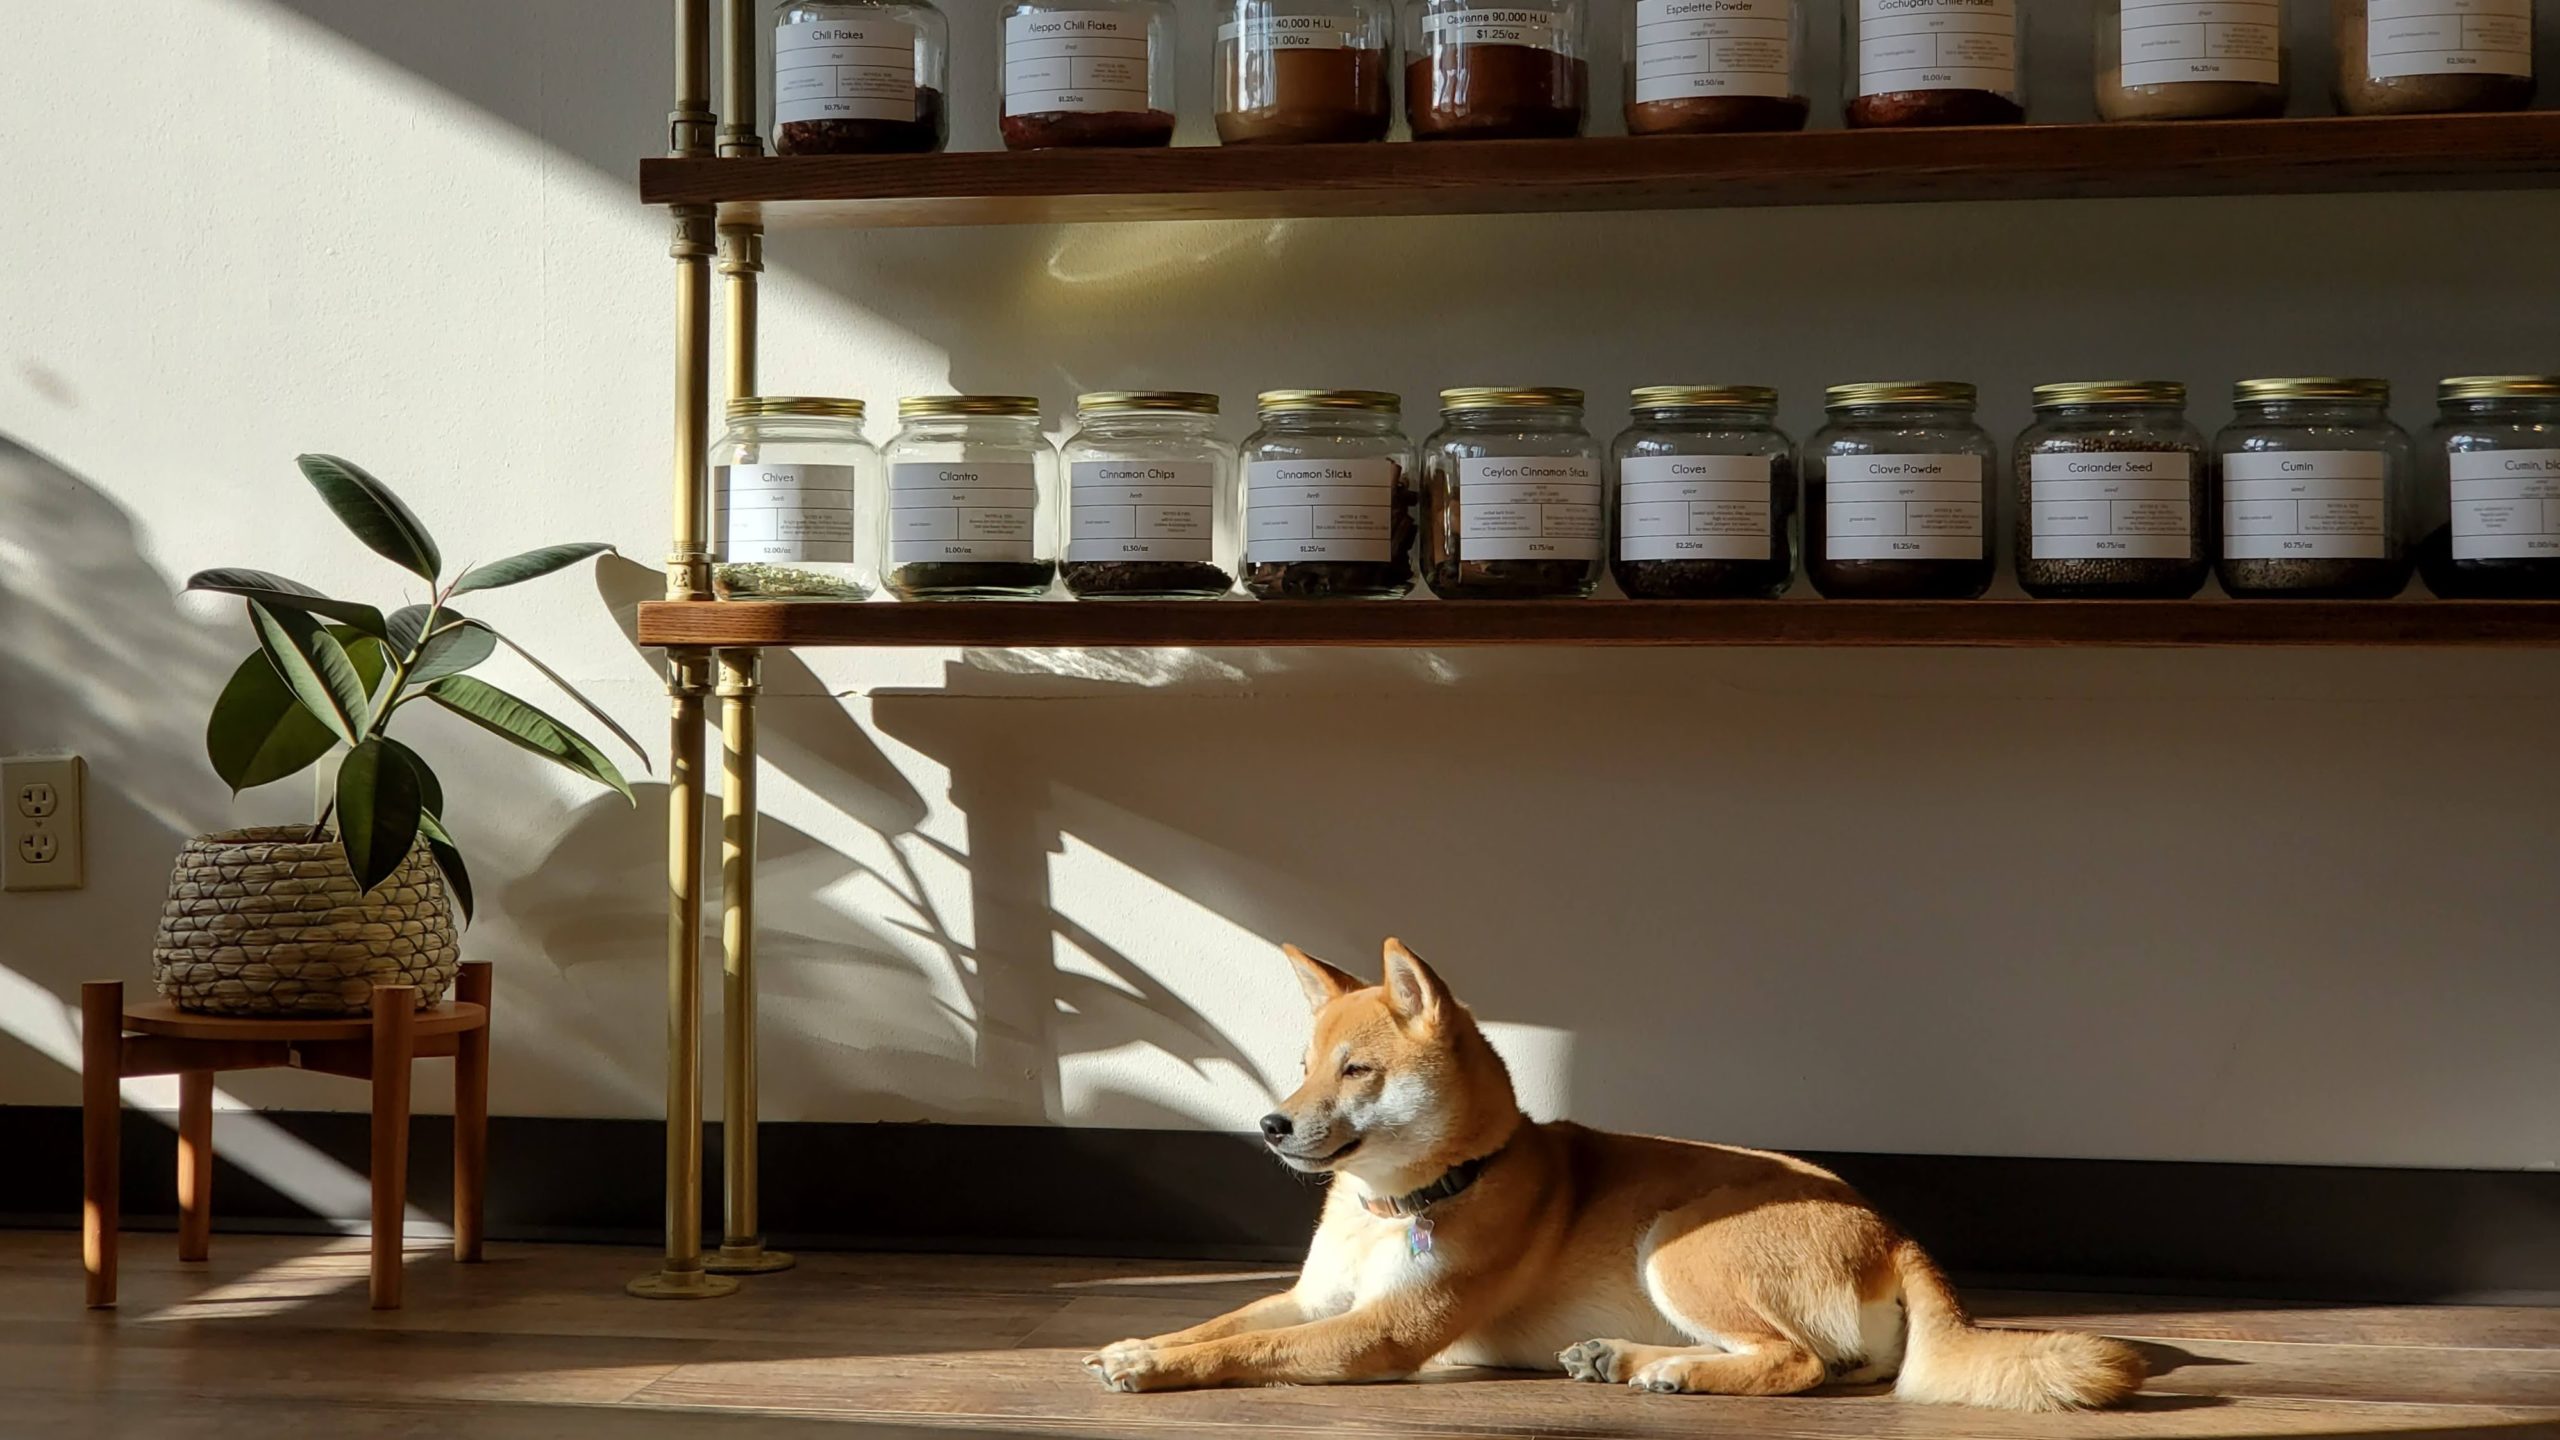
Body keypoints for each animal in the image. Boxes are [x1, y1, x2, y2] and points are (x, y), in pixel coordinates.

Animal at [1080, 937, 2140, 1404]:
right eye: (1301, 1065)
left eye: (1357, 1072)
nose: (1270, 1124)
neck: (1399, 1204)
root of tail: (1894, 1229)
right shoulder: (1313, 1300)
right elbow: (1222, 1322)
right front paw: (1136, 1342)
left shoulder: (1374, 1333)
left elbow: (1248, 1348)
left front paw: (1153, 1365)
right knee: (1818, 1360)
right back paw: (1624, 1360)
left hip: (1675, 1244)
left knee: (1800, 1363)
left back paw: (1668, 1371)